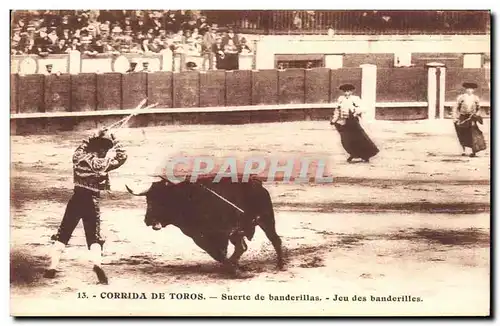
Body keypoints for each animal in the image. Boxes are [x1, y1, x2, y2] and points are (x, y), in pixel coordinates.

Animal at [125, 176, 284, 272]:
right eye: (148, 200)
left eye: (162, 201)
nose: (148, 220)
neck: (185, 199)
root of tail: (258, 185)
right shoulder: (198, 235)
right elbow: (217, 252)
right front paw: (233, 266)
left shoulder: (219, 233)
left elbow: (219, 252)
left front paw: (232, 267)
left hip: (266, 220)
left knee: (275, 240)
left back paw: (280, 265)